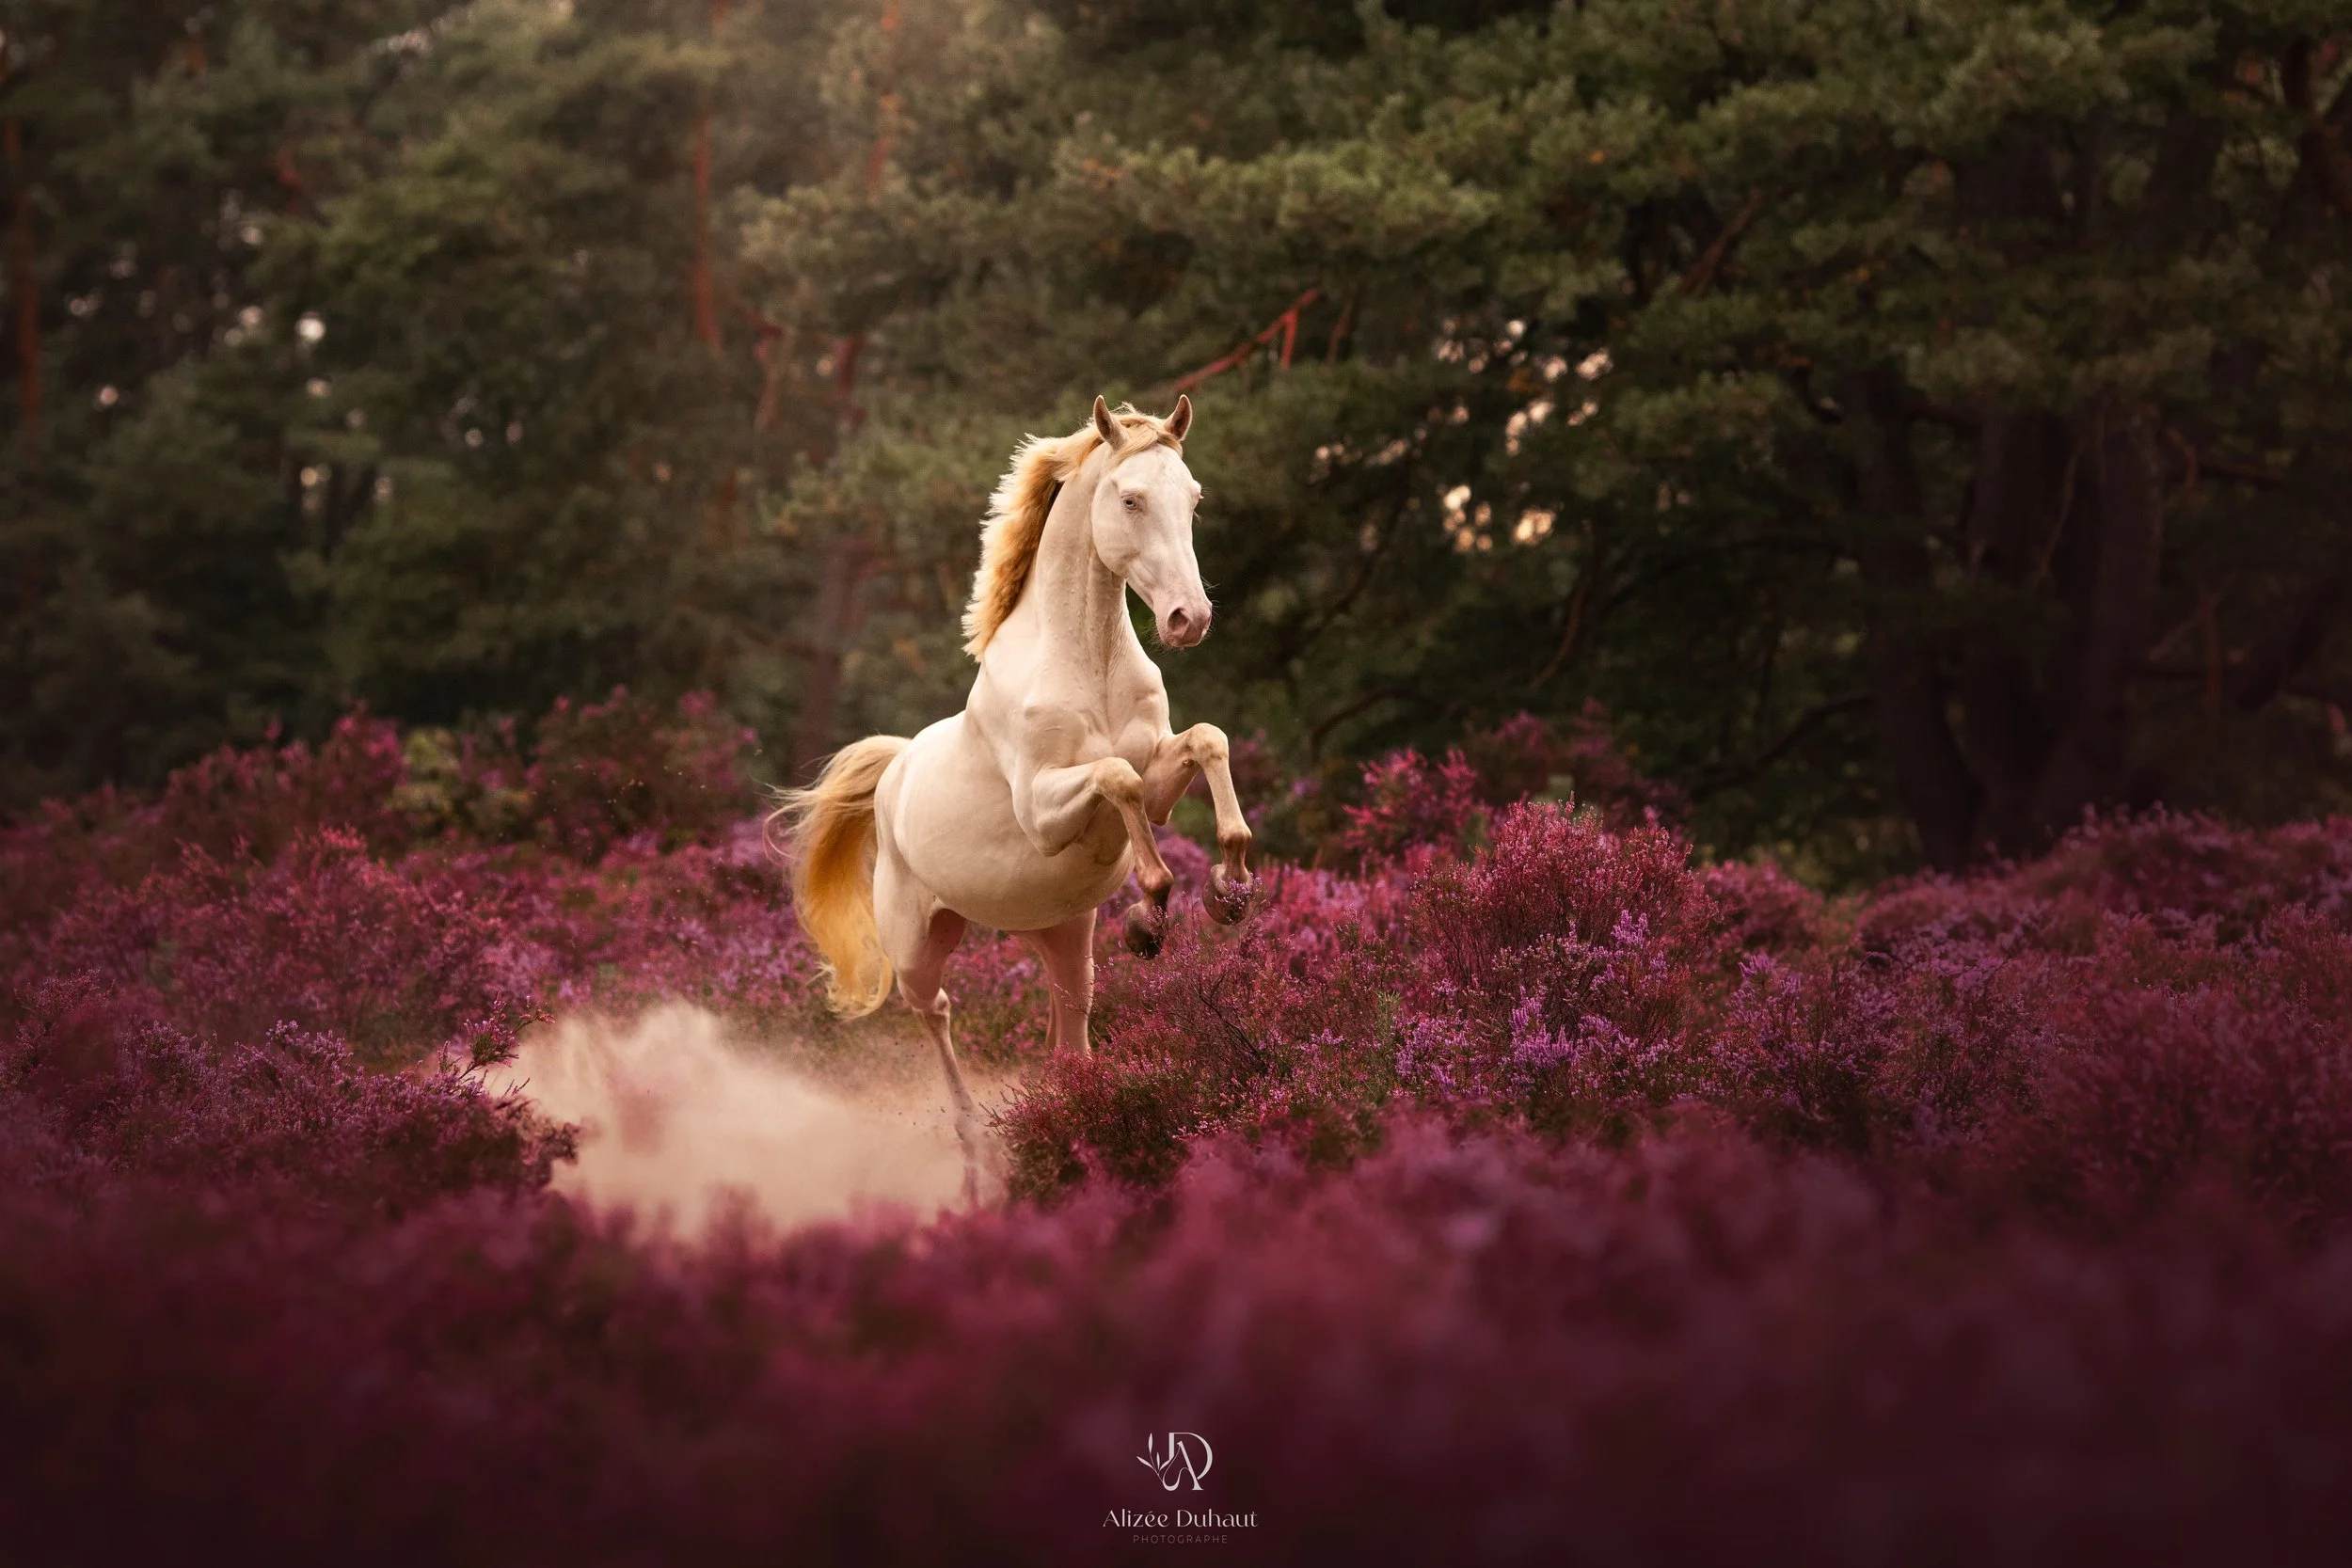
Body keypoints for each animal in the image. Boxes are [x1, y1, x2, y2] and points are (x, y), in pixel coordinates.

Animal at [775, 395, 1256, 1201]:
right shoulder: (1044, 811)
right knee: (937, 1014)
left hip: (1060, 933)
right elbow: (1117, 780)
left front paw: (1230, 887)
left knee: (1068, 1028)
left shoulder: (1162, 776)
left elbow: (1206, 742)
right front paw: (1152, 909)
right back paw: (977, 1169)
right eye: (1131, 498)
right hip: (918, 950)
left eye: (1192, 499)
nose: (1189, 619)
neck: (1087, 662)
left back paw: (1074, 1135)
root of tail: (897, 766)